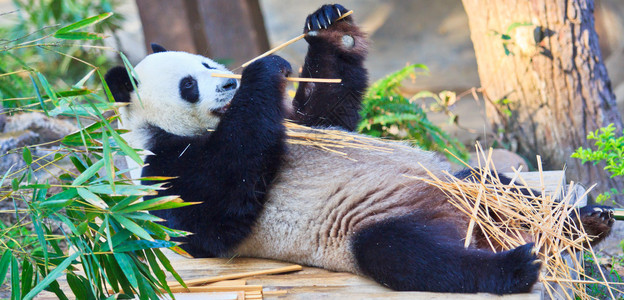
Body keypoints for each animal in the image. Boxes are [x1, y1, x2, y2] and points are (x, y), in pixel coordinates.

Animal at [103, 4, 616, 296]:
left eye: (208, 63)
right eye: (189, 84)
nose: (229, 83)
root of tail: (465, 222)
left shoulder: (297, 124)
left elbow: (328, 116)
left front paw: (327, 25)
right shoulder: (163, 174)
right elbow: (217, 214)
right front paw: (263, 71)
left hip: (456, 183)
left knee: (497, 186)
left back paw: (585, 221)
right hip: (376, 226)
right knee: (408, 256)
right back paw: (514, 268)